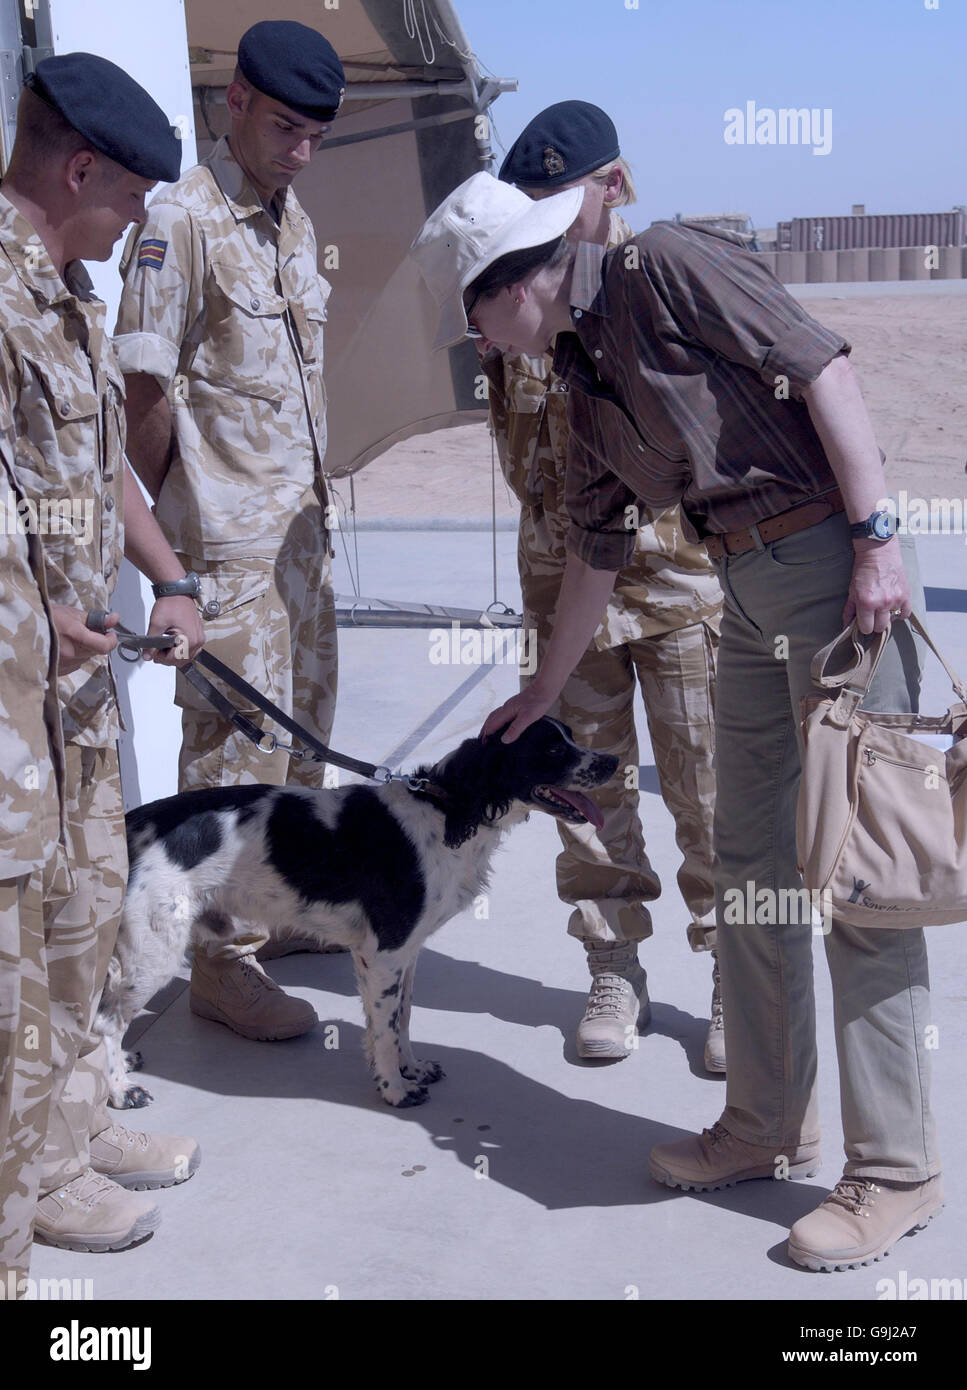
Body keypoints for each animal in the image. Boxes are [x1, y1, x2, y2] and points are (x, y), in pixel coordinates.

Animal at [96, 717, 611, 1106]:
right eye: (550, 748)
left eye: (568, 736)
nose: (611, 761)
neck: (445, 810)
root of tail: (134, 822)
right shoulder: (385, 952)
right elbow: (384, 1027)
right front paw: (395, 1090)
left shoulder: (401, 952)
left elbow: (402, 1018)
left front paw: (412, 1068)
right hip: (153, 953)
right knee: (105, 1021)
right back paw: (120, 1090)